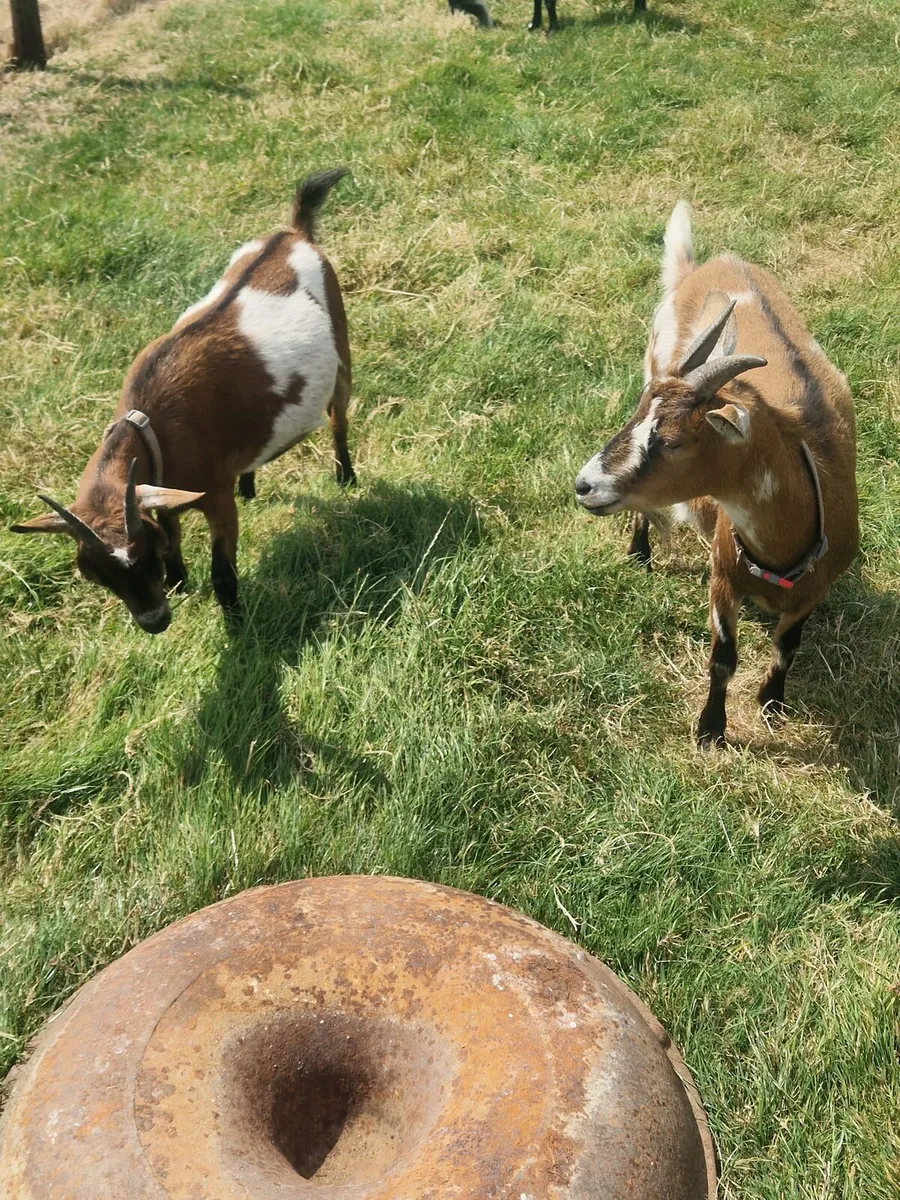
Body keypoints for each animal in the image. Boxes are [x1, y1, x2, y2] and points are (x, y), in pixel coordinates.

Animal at [11, 169, 355, 635]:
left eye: (145, 555)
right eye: (94, 575)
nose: (154, 622)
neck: (151, 424)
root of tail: (292, 233)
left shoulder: (215, 495)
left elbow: (223, 571)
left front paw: (236, 625)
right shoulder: (160, 485)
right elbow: (172, 525)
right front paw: (178, 580)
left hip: (341, 347)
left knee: (339, 416)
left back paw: (346, 476)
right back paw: (250, 484)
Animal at [574, 202, 858, 747]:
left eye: (672, 441)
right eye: (637, 416)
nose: (585, 484)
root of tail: (703, 267)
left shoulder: (814, 593)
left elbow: (787, 646)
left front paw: (772, 704)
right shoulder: (722, 577)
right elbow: (723, 658)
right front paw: (710, 730)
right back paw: (639, 553)